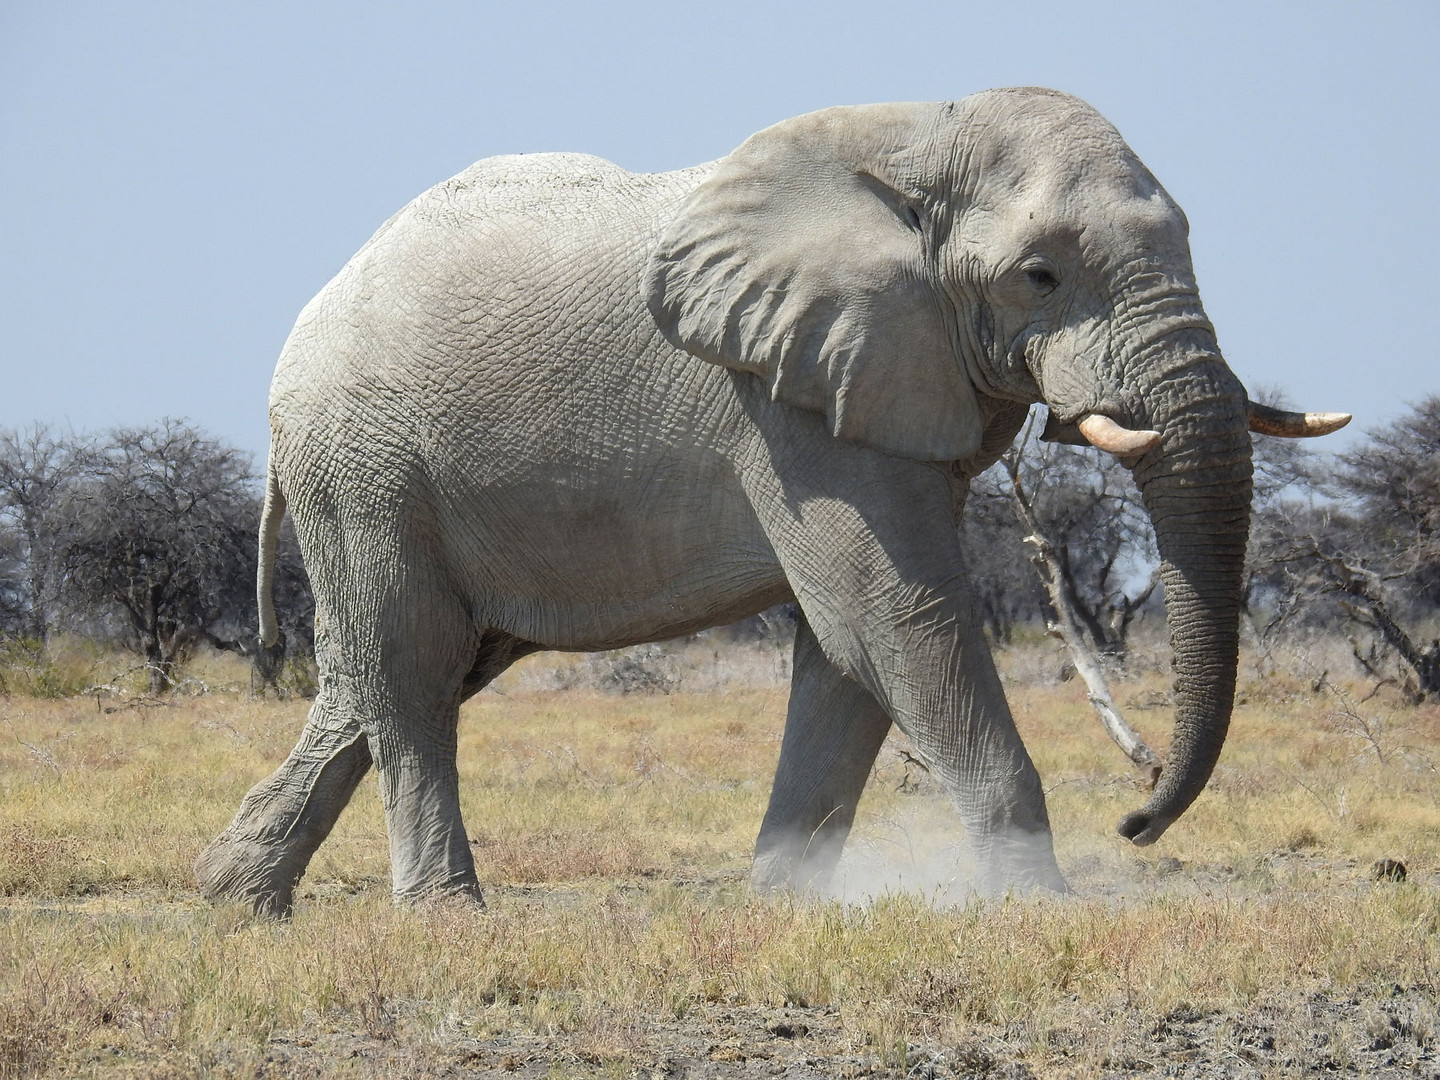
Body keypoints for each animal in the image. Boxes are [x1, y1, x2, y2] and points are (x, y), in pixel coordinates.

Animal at [194, 86, 1347, 915]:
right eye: (1040, 276)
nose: (1136, 822)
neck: (919, 136)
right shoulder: (782, 396)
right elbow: (896, 614)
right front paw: (1040, 909)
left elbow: (847, 648)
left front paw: (783, 906)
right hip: (366, 463)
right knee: (413, 667)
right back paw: (444, 917)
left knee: (394, 672)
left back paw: (234, 901)